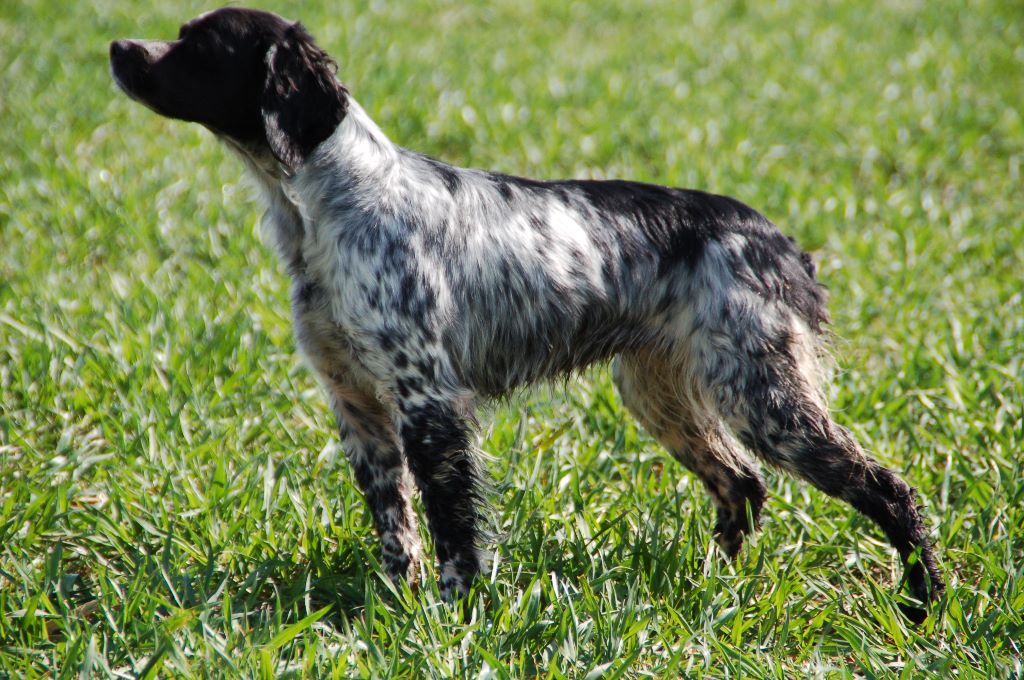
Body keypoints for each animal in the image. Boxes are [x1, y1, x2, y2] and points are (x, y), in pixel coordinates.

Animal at [110, 7, 942, 618]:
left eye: (200, 44)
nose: (118, 46)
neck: (328, 208)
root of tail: (776, 238)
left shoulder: (428, 402)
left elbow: (452, 527)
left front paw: (451, 616)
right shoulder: (358, 408)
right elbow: (396, 530)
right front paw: (396, 607)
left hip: (762, 396)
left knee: (887, 488)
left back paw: (922, 602)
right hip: (660, 394)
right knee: (740, 484)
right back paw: (714, 586)